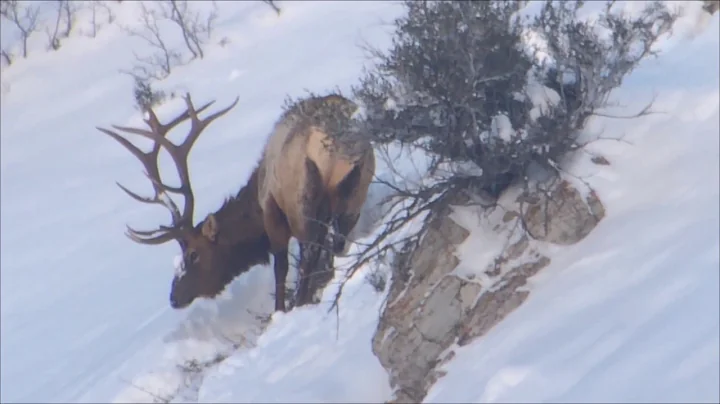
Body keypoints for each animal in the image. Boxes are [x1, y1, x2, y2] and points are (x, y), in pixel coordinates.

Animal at [97, 92, 375, 312]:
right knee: (338, 239)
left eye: (193, 254)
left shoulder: (272, 211)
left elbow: (281, 266)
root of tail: (335, 143)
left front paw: (280, 310)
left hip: (302, 200)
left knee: (308, 252)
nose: (174, 298)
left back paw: (301, 301)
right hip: (356, 189)